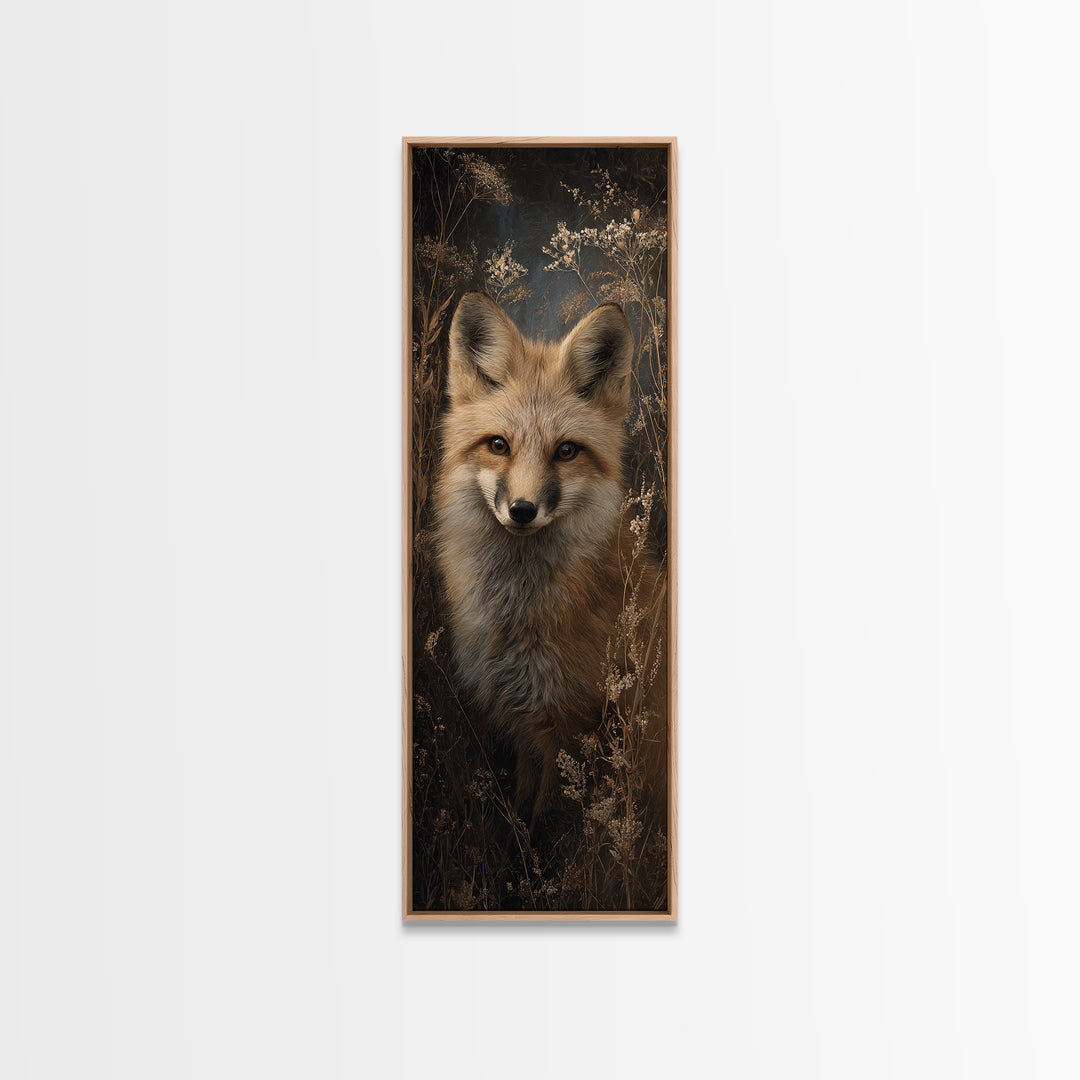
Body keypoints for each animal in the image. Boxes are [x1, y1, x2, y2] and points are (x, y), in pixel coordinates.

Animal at [433, 291, 667, 827]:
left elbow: (552, 825)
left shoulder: (571, 728)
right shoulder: (525, 722)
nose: (522, 510)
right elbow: (524, 813)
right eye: (498, 445)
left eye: (566, 452)